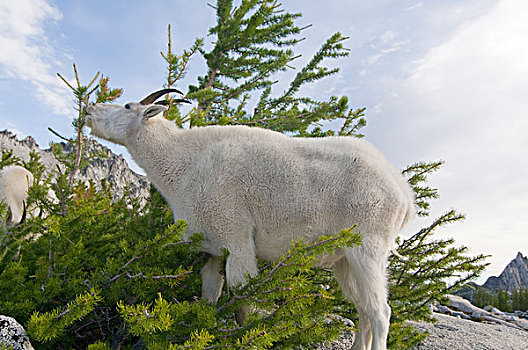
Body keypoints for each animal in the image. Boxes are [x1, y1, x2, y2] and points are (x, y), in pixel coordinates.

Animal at [86, 88, 416, 350]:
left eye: (127, 106)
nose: (89, 109)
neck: (184, 163)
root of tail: (403, 195)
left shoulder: (237, 238)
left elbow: (243, 302)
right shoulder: (212, 249)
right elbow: (209, 295)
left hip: (368, 248)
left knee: (380, 312)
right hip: (344, 260)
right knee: (362, 309)